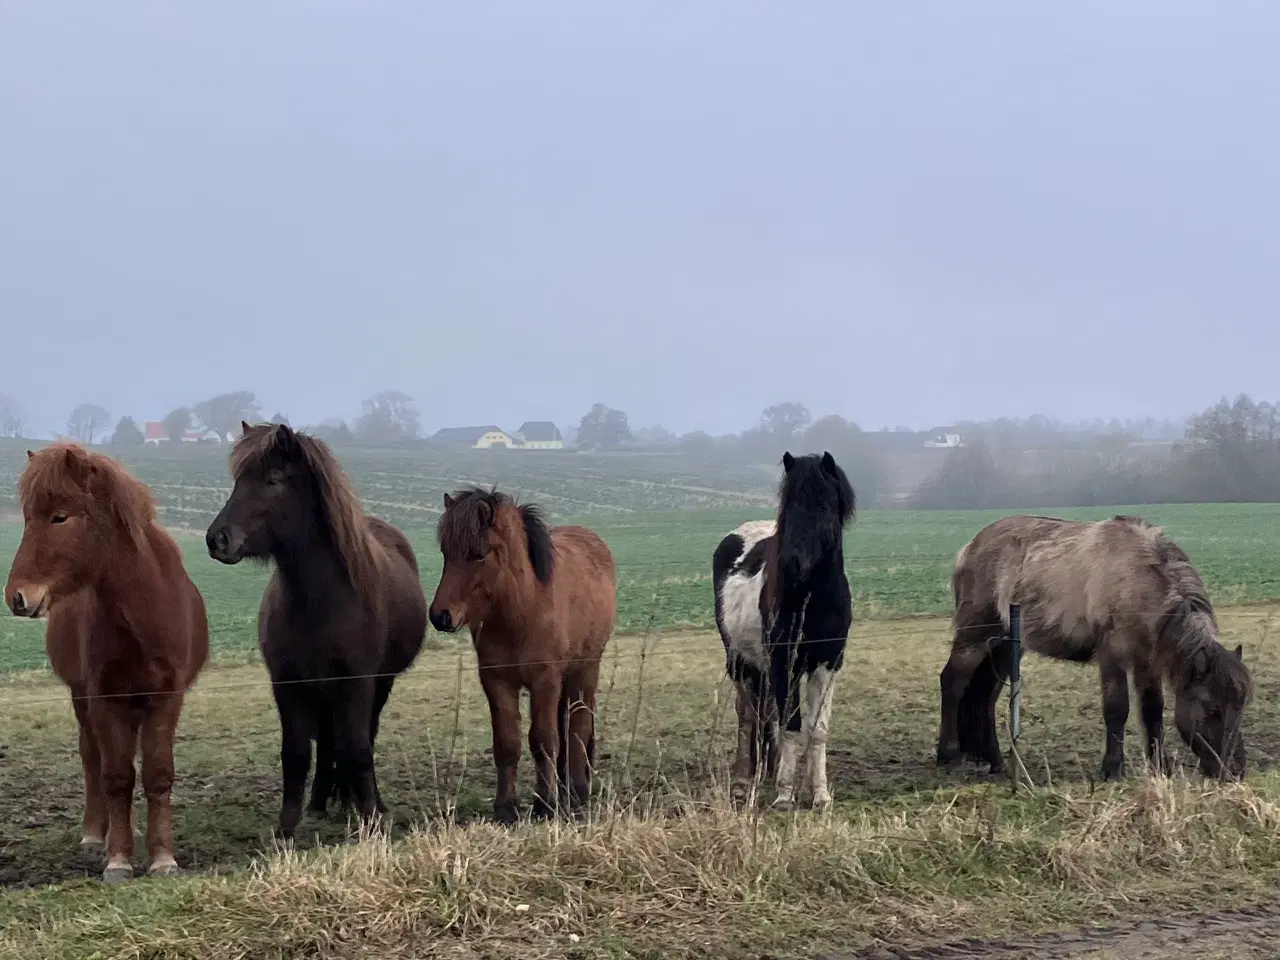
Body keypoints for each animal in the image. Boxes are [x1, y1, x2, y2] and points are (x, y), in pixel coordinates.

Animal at [3, 448, 207, 885]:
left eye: (60, 517)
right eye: (28, 517)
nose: (17, 597)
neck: (142, 612)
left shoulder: (166, 698)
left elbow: (157, 773)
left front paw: (163, 858)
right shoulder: (105, 697)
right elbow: (116, 776)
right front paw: (118, 859)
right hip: (84, 699)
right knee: (92, 758)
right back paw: (98, 834)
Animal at [207, 422, 427, 839]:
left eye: (273, 480)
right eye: (238, 479)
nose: (218, 539)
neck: (319, 601)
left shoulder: (357, 682)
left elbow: (358, 747)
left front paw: (370, 817)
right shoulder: (287, 683)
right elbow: (294, 753)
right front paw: (286, 828)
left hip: (378, 684)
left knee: (363, 736)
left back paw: (368, 802)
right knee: (326, 742)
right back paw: (320, 803)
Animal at [427, 491, 616, 824]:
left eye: (478, 554)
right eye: (445, 552)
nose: (440, 616)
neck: (522, 609)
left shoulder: (544, 680)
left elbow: (543, 740)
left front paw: (545, 805)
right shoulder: (496, 681)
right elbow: (507, 743)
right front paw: (506, 807)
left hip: (585, 670)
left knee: (578, 727)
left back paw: (577, 792)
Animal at [716, 453, 855, 814]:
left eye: (824, 504)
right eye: (788, 505)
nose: (792, 564)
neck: (813, 598)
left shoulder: (827, 664)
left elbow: (817, 729)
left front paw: (820, 794)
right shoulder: (784, 662)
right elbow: (791, 725)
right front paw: (784, 795)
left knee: (768, 714)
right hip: (740, 661)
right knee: (748, 716)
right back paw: (743, 783)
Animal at [936, 519, 1254, 783]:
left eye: (1241, 707)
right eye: (1212, 709)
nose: (1234, 771)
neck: (1138, 579)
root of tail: (970, 547)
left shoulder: (1147, 662)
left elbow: (1152, 711)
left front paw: (1160, 767)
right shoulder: (1113, 656)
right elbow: (1117, 708)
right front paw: (1112, 769)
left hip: (1004, 646)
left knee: (985, 697)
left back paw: (995, 761)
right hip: (974, 636)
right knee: (952, 681)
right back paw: (948, 755)